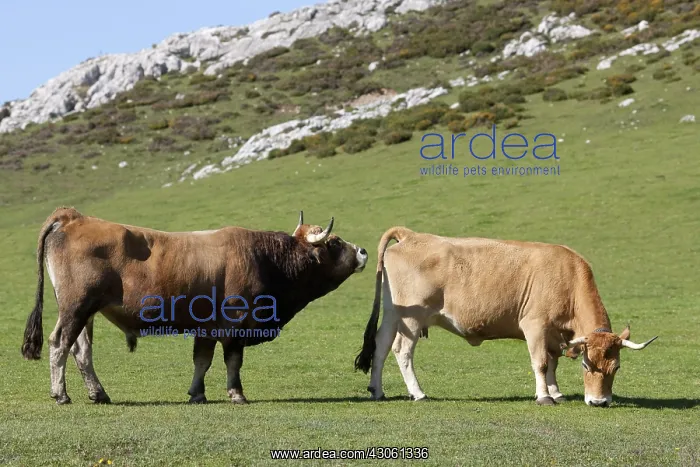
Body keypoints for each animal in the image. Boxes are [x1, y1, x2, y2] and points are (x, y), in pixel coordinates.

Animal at [22, 208, 368, 405]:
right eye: (335, 242)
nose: (363, 251)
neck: (264, 258)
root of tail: (73, 217)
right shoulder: (234, 324)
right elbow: (232, 362)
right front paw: (236, 394)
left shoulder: (207, 328)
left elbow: (202, 361)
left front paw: (197, 393)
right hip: (75, 308)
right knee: (59, 344)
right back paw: (61, 394)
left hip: (86, 313)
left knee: (81, 351)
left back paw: (98, 393)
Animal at [354, 227, 657, 407]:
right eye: (586, 365)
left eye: (615, 367)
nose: (599, 402)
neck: (567, 277)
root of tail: (411, 235)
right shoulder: (535, 326)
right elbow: (541, 363)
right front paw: (544, 397)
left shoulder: (553, 334)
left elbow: (553, 361)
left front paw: (556, 392)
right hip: (413, 318)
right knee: (402, 351)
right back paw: (418, 393)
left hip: (393, 314)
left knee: (380, 348)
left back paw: (377, 390)